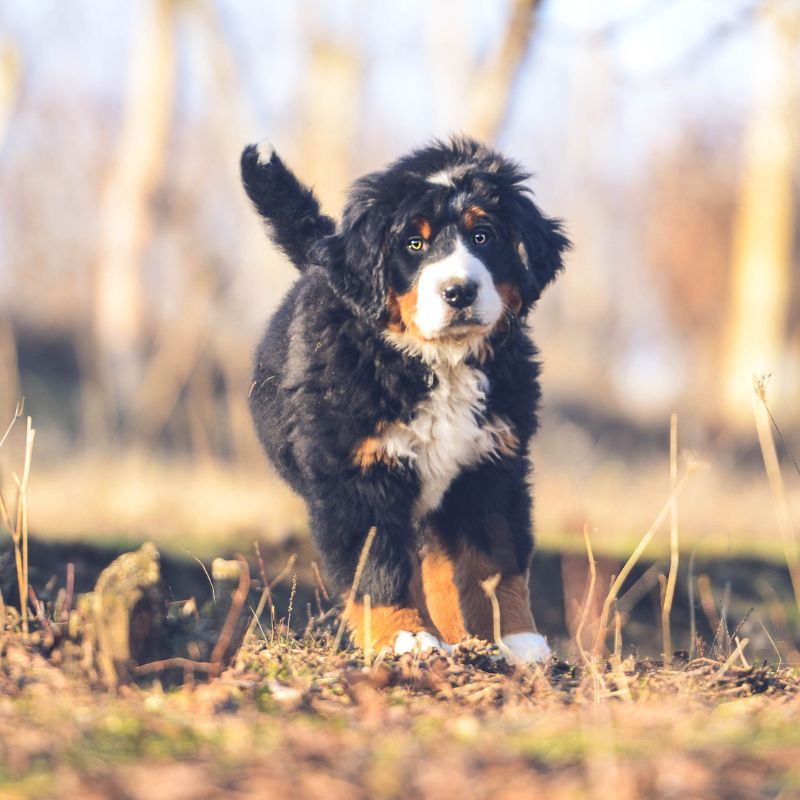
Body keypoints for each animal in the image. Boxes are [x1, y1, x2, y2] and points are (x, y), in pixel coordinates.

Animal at [241, 136, 564, 664]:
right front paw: (406, 637)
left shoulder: (491, 466)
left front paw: (514, 638)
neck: (439, 362)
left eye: (484, 236)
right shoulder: (357, 474)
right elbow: (380, 570)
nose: (459, 291)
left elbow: (495, 563)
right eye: (414, 244)